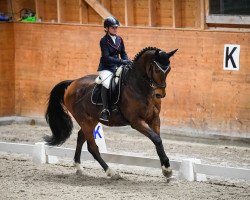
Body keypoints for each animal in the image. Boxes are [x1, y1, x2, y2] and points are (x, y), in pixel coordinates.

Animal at [45, 47, 178, 180]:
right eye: (156, 69)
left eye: (169, 69)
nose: (160, 94)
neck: (140, 88)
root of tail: (73, 82)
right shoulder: (136, 121)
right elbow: (156, 139)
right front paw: (167, 170)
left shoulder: (154, 119)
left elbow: (158, 141)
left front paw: (166, 169)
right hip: (85, 120)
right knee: (92, 147)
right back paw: (111, 172)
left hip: (91, 120)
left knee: (81, 137)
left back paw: (79, 167)